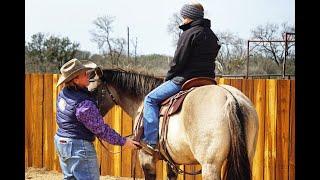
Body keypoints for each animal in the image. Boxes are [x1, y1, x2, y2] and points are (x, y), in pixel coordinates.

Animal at [88, 68, 260, 179]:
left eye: (92, 90)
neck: (141, 102)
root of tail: (229, 97)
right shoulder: (171, 162)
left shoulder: (147, 159)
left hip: (210, 166)